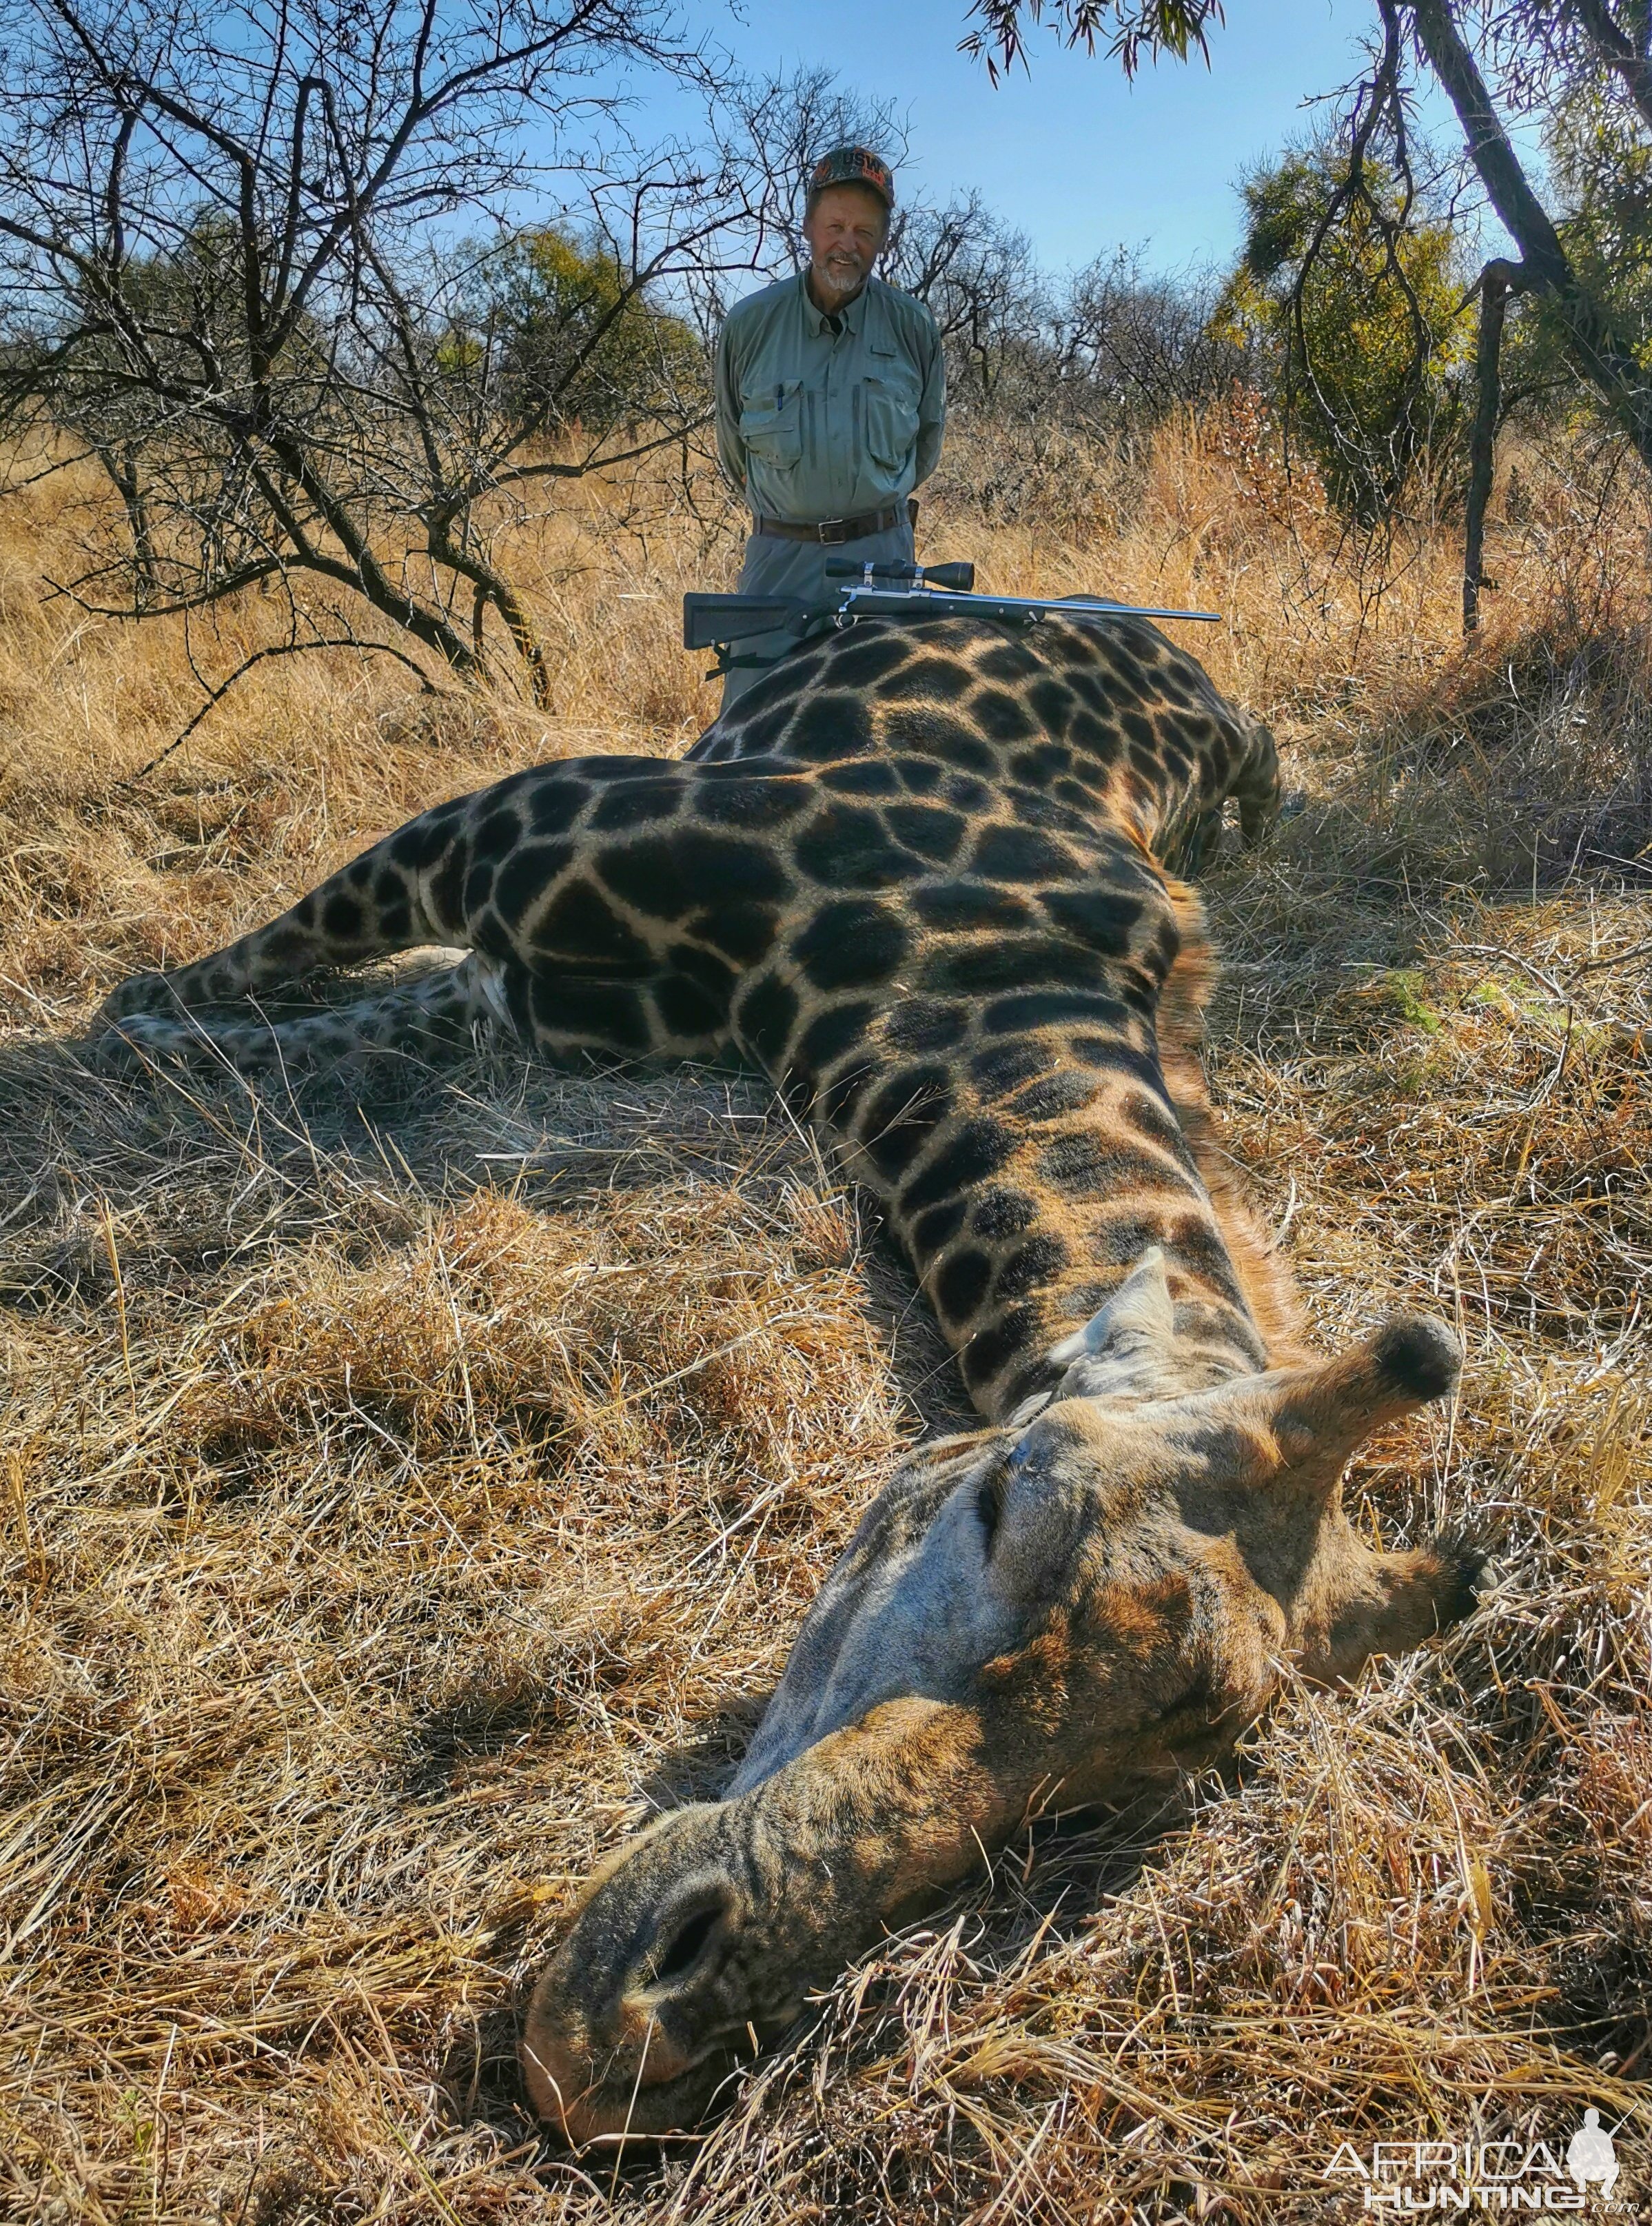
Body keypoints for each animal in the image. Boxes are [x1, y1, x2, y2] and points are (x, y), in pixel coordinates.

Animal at [90, 614, 1487, 2136]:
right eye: (1002, 1506)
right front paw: (131, 1017)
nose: (635, 2036)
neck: (973, 976)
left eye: (1129, 1781)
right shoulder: (513, 818)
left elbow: (339, 1008)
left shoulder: (525, 953)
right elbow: (218, 978)